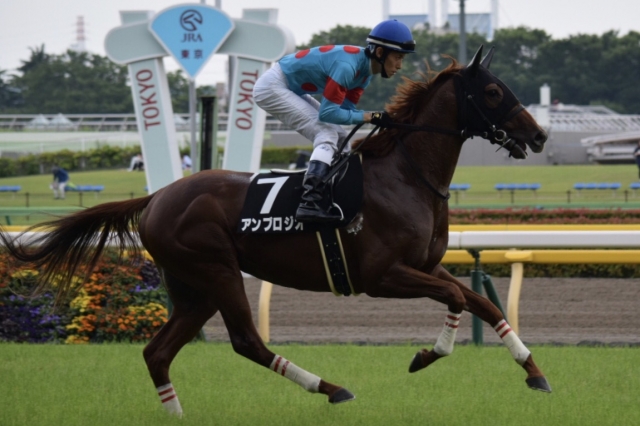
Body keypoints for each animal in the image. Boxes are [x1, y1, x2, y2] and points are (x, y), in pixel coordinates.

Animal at [0, 46, 550, 416]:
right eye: (494, 91)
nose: (540, 134)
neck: (406, 175)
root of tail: (156, 197)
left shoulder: (427, 266)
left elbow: (482, 305)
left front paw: (535, 372)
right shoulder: (382, 276)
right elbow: (458, 301)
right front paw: (426, 354)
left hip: (193, 286)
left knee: (157, 351)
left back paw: (177, 414)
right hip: (216, 269)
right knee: (247, 341)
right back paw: (330, 388)